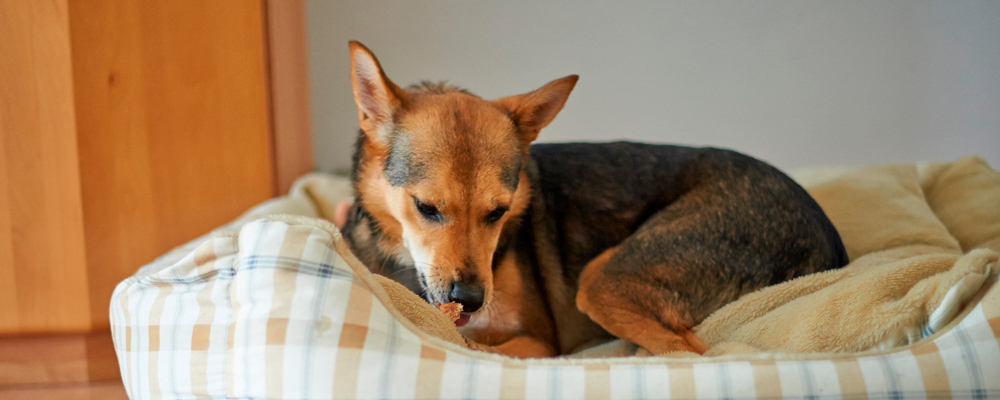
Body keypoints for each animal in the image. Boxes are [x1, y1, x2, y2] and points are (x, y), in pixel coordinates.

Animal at [336, 41, 844, 360]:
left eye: (499, 213)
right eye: (426, 208)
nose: (472, 300)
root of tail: (830, 245)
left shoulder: (541, 342)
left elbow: (481, 347)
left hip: (605, 278)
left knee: (695, 351)